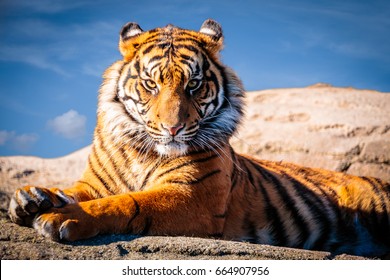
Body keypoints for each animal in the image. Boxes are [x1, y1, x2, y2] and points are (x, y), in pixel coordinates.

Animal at [8, 18, 390, 258]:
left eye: (193, 84)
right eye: (151, 84)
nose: (173, 128)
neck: (142, 150)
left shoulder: (195, 197)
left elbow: (127, 203)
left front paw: (59, 218)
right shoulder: (95, 183)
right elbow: (74, 191)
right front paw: (32, 198)